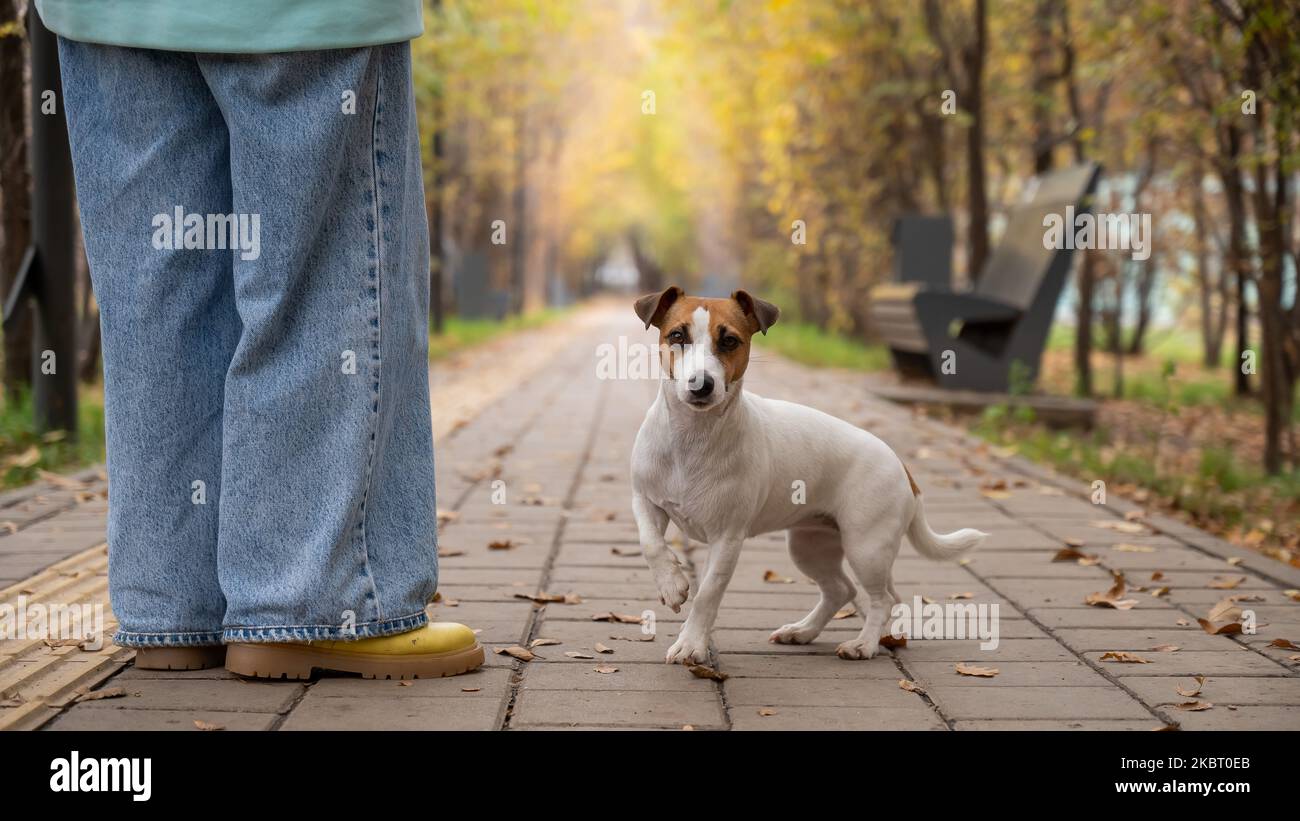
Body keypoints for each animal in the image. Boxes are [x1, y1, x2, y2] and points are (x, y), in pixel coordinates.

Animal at [629, 285, 982, 665]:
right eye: (677, 336)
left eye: (729, 341)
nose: (701, 385)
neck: (691, 438)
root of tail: (901, 464)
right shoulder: (645, 501)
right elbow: (651, 543)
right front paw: (672, 585)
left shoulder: (727, 538)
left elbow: (708, 592)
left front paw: (691, 643)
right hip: (810, 545)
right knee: (842, 590)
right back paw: (803, 631)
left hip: (866, 547)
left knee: (882, 598)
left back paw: (864, 644)